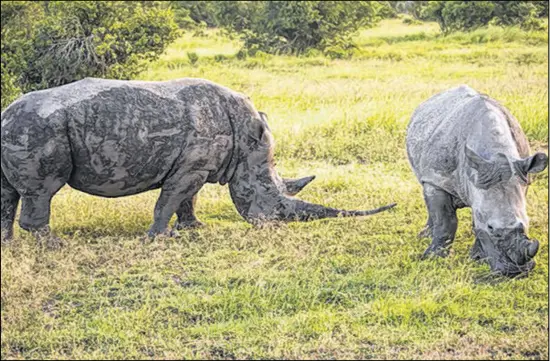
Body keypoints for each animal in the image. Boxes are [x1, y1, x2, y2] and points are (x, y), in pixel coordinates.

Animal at [0, 77, 396, 243]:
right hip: (39, 130)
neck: (244, 141)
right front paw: (159, 238)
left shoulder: (196, 165)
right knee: (42, 191)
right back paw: (53, 246)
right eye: (268, 196)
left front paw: (194, 229)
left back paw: (9, 246)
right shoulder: (192, 167)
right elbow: (170, 200)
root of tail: (5, 115)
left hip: (20, 130)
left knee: (8, 193)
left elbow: (187, 200)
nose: (273, 226)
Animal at [408, 86, 548, 278]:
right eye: (491, 227)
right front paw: (433, 259)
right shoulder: (437, 180)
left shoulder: (520, 177)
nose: (516, 273)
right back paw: (425, 236)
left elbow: (476, 220)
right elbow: (445, 221)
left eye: (527, 223)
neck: (497, 154)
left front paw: (477, 258)